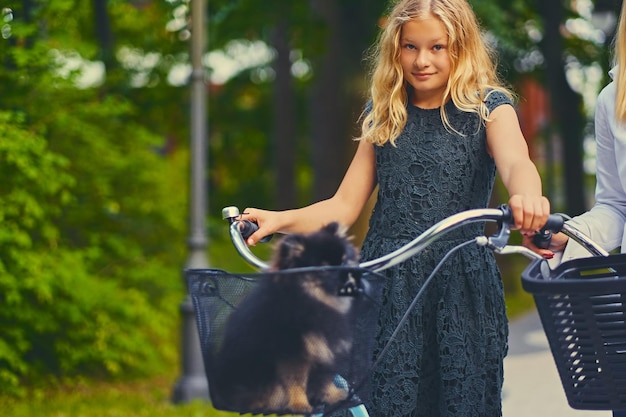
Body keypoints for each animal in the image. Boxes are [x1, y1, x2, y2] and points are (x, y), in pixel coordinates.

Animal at [211, 221, 360, 412]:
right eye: (325, 268)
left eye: (344, 261)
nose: (348, 278)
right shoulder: (292, 352)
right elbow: (295, 382)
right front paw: (299, 404)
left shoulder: (326, 349)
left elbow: (326, 377)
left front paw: (334, 395)